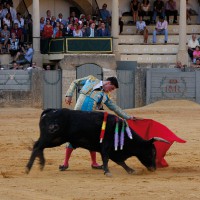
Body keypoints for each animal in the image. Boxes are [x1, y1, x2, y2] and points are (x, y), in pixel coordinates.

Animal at [25, 108, 169, 176]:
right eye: (152, 153)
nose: (154, 168)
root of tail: (50, 110)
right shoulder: (106, 147)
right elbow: (106, 159)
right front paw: (107, 172)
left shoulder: (115, 152)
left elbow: (121, 162)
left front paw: (131, 170)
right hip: (50, 136)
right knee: (37, 147)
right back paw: (28, 168)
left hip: (56, 139)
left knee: (38, 147)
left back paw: (41, 164)